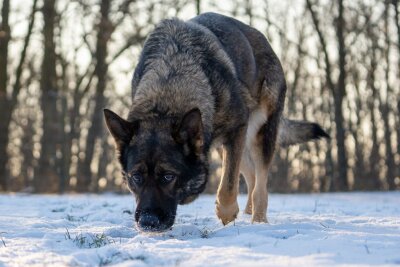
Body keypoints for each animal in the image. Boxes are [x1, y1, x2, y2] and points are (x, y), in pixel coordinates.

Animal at [103, 12, 328, 232]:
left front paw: (227, 214)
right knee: (250, 175)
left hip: (259, 134)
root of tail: (262, 38)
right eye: (136, 177)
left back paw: (258, 221)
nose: (148, 222)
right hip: (225, 145)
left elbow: (227, 186)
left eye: (168, 176)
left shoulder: (236, 130)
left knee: (260, 185)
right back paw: (249, 212)